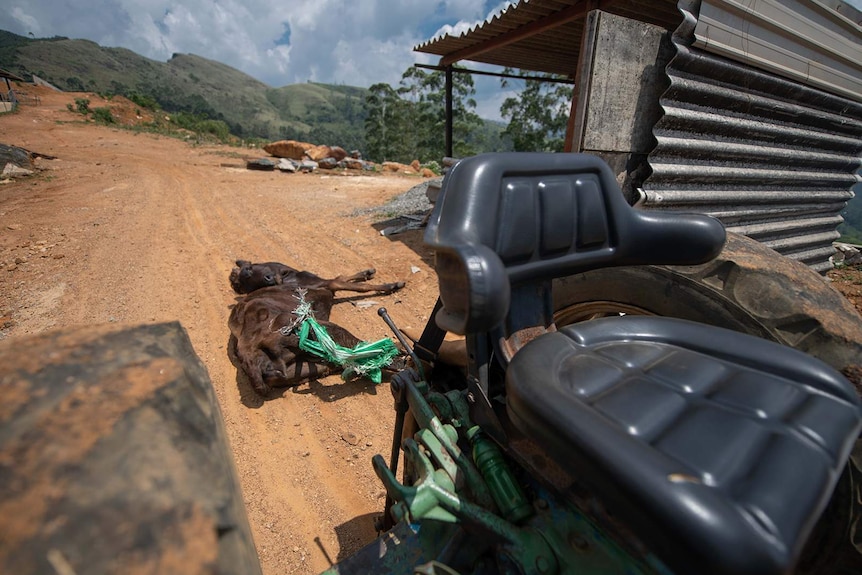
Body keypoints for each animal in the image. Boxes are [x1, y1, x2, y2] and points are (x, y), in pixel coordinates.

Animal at [228, 260, 406, 396]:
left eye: (249, 269)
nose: (269, 279)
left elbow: (343, 277)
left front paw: (367, 272)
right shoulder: (326, 284)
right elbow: (356, 285)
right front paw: (392, 285)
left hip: (302, 368)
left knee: (340, 362)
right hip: (313, 327)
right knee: (358, 350)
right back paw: (399, 354)